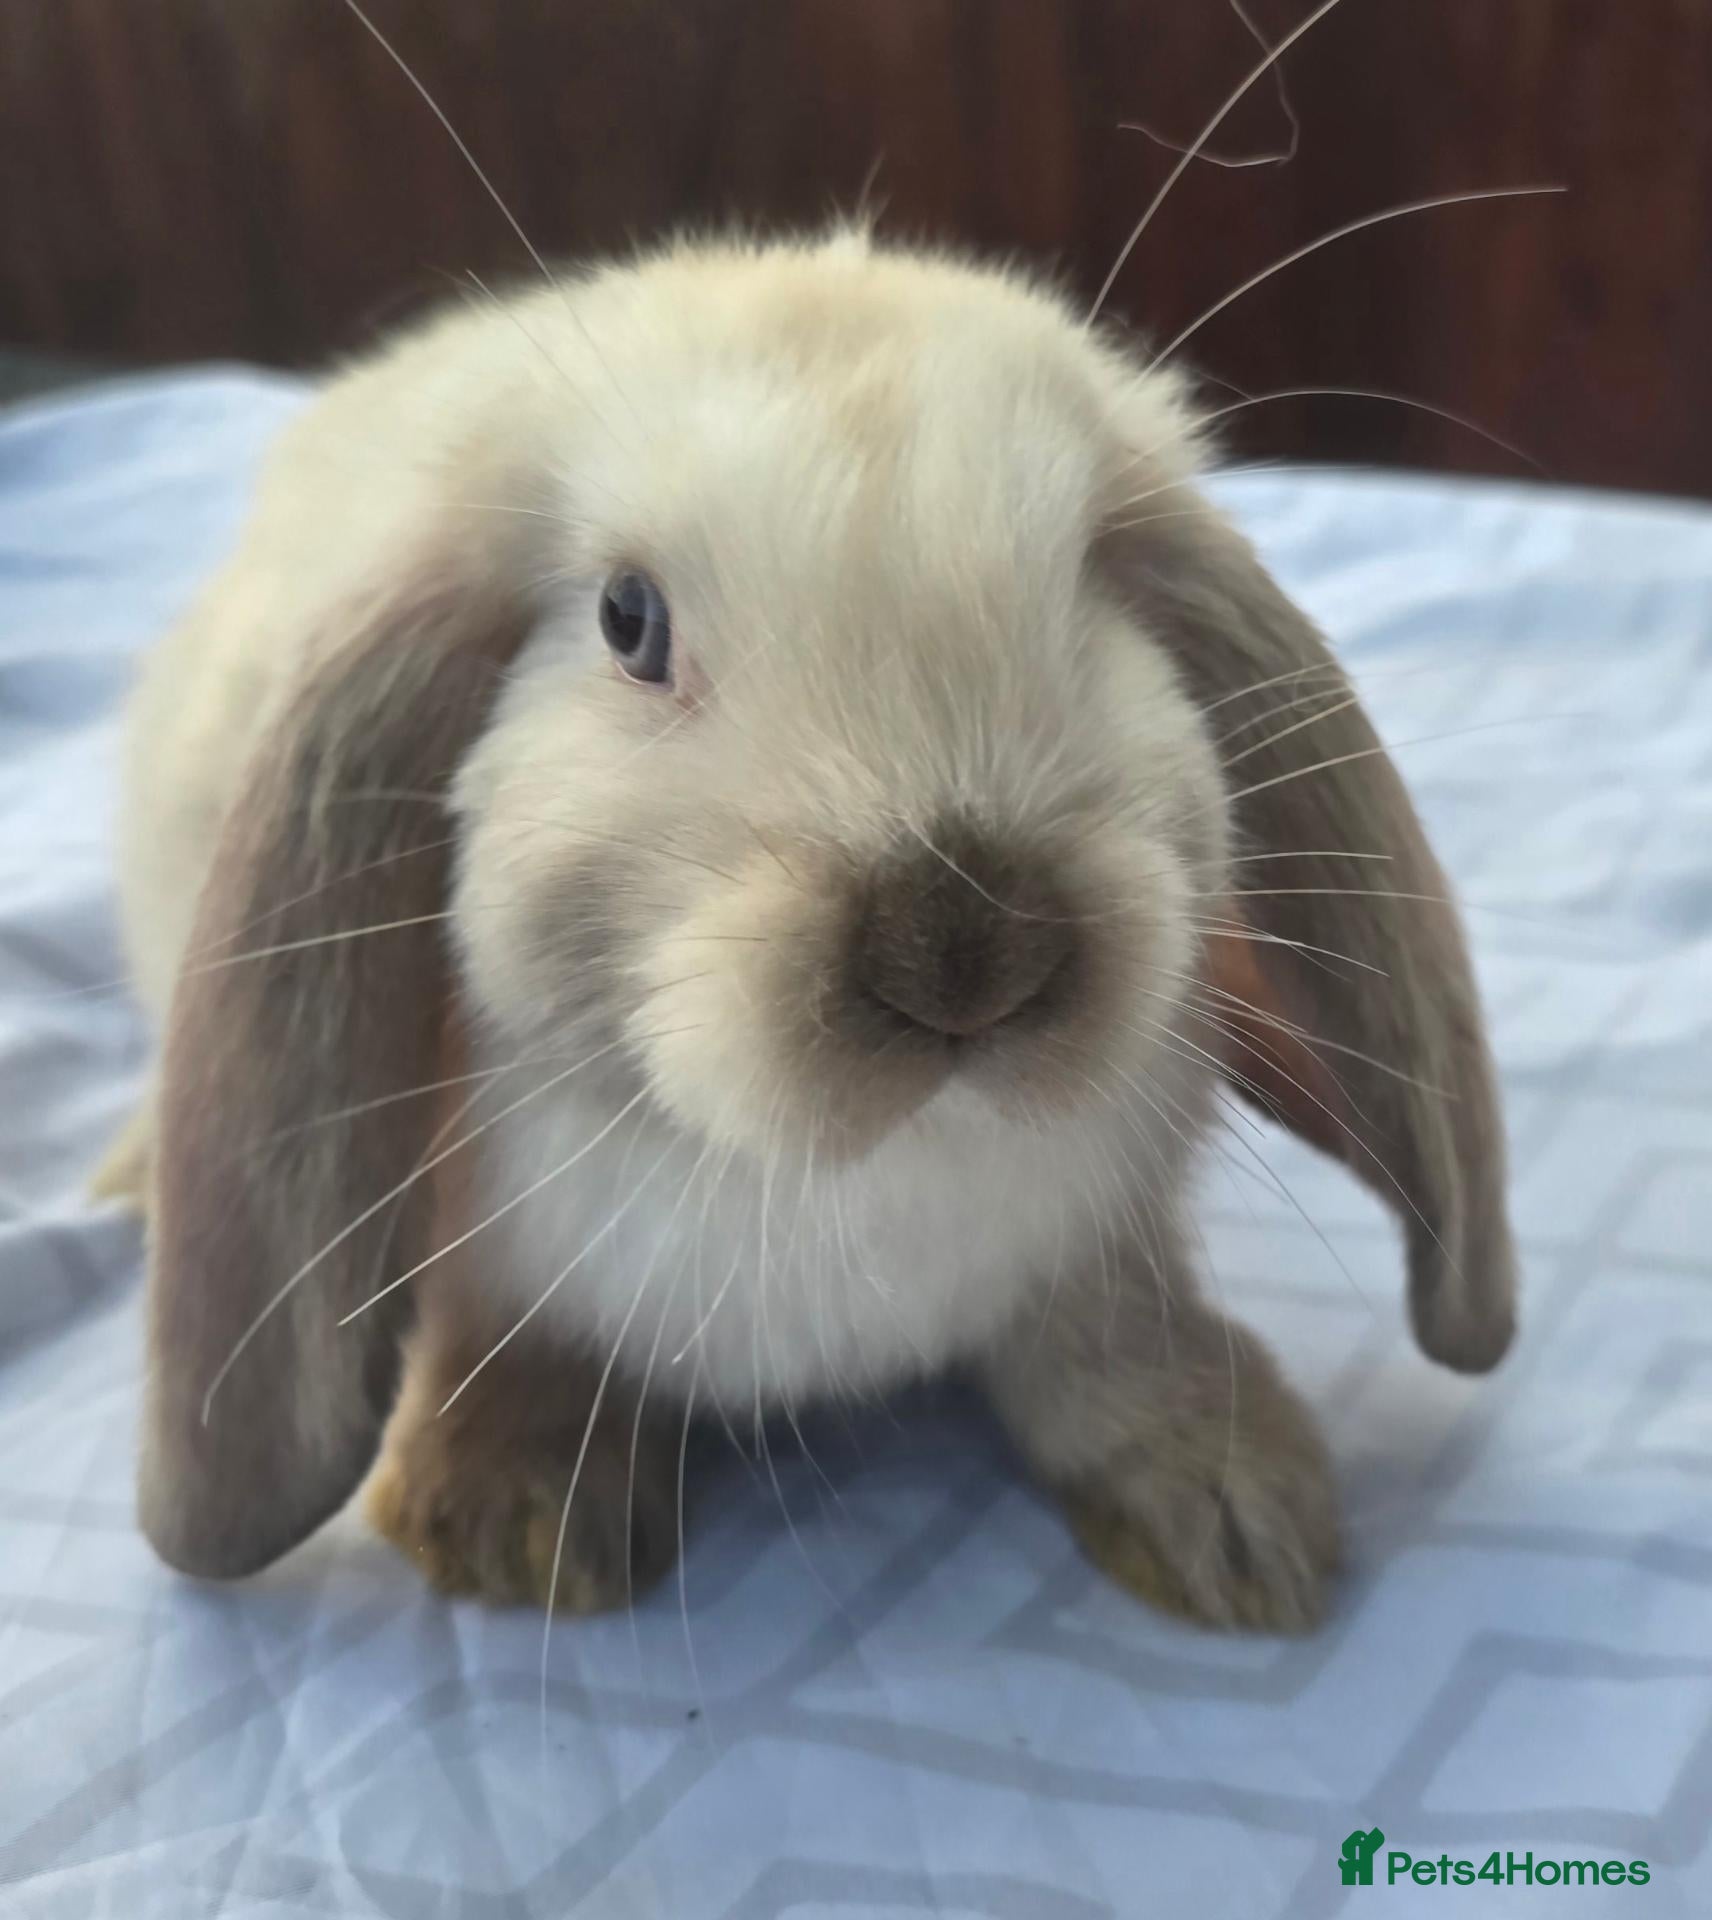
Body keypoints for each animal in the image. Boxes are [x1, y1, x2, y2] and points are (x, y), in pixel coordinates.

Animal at [110, 229, 1515, 1634]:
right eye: (629, 621)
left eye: (1090, 582)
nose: (963, 953)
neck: (832, 1181)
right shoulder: (489, 1262)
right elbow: (496, 1340)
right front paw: (517, 1518)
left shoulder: (1094, 1243)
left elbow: (1106, 1331)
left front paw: (1235, 1509)